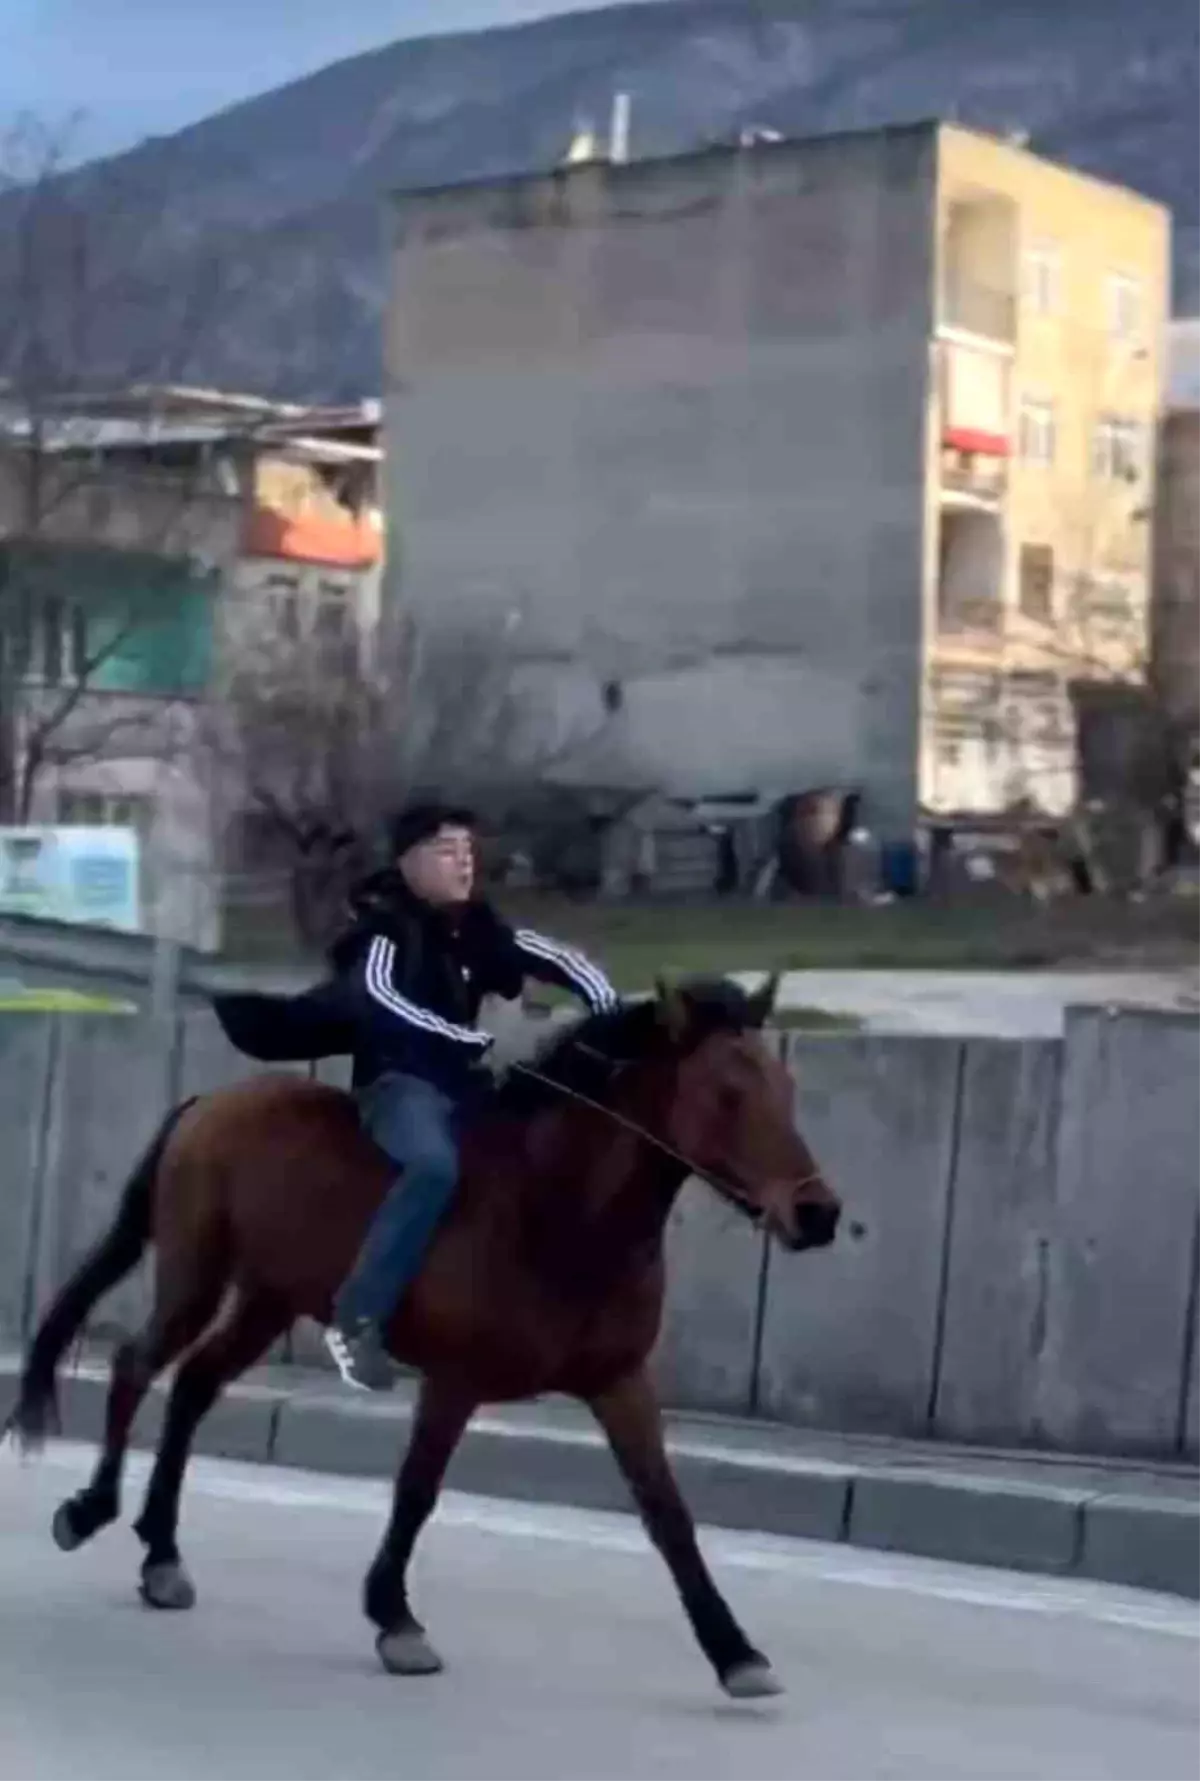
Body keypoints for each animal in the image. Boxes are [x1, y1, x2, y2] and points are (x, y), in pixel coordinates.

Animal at [7, 975, 840, 1695]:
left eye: (787, 1087)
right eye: (727, 1091)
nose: (819, 1213)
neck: (557, 1209)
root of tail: (209, 1100)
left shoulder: (619, 1382)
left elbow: (668, 1514)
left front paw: (735, 1650)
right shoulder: (454, 1379)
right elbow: (416, 1490)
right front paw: (395, 1617)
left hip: (267, 1299)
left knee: (191, 1386)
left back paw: (161, 1552)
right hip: (196, 1273)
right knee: (137, 1365)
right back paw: (91, 1510)